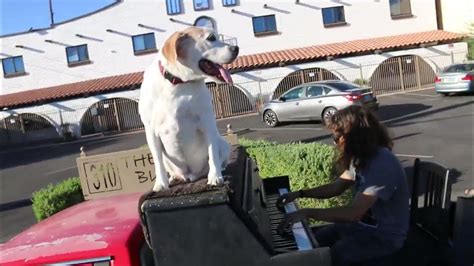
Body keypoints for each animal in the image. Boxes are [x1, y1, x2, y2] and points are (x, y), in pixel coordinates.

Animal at [139, 27, 239, 191]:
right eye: (211, 38)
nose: (236, 48)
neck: (179, 84)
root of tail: (192, 175)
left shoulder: (207, 124)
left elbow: (212, 154)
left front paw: (215, 176)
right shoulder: (151, 132)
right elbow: (158, 163)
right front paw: (161, 184)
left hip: (224, 144)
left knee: (218, 157)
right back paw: (173, 177)